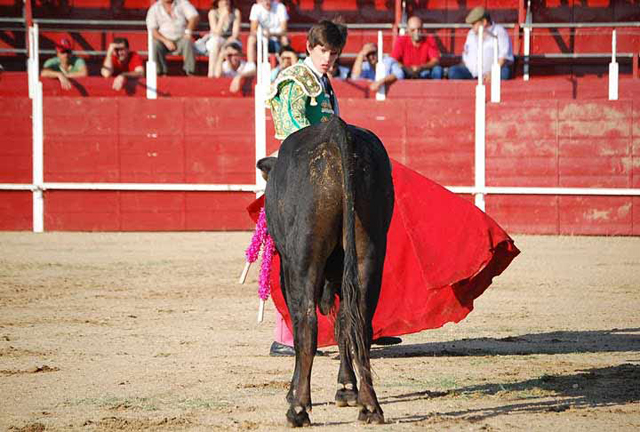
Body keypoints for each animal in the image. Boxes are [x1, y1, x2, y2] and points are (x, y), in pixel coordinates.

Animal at [256, 116, 396, 426]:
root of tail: (336, 131)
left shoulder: (287, 267)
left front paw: (294, 393)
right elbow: (344, 323)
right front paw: (346, 387)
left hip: (304, 256)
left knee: (306, 323)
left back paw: (298, 409)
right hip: (369, 250)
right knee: (360, 322)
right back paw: (370, 406)